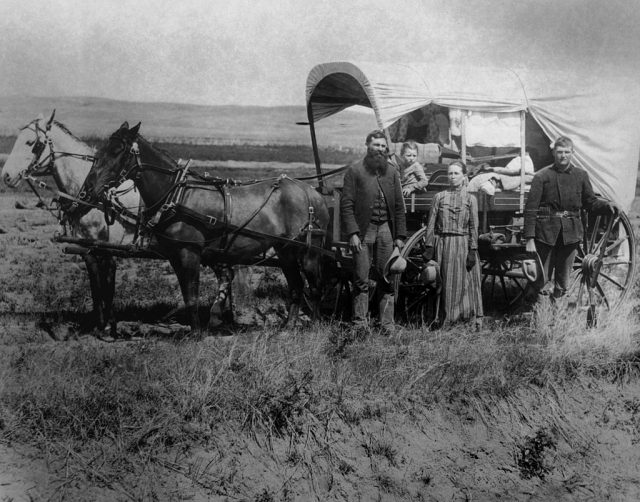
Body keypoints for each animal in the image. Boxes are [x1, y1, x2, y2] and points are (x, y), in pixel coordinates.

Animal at [2, 112, 232, 336]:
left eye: (31, 142)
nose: (6, 176)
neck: (92, 195)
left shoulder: (106, 249)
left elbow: (107, 285)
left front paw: (108, 326)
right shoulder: (88, 250)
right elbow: (95, 287)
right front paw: (98, 324)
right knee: (225, 273)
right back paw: (223, 316)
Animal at [81, 122, 330, 334]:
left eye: (118, 150)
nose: (88, 190)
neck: (177, 195)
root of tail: (312, 193)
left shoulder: (190, 253)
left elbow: (192, 295)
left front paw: (197, 334)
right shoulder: (176, 255)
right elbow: (187, 294)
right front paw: (197, 329)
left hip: (309, 252)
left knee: (316, 287)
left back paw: (316, 326)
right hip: (285, 251)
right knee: (297, 286)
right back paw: (288, 327)